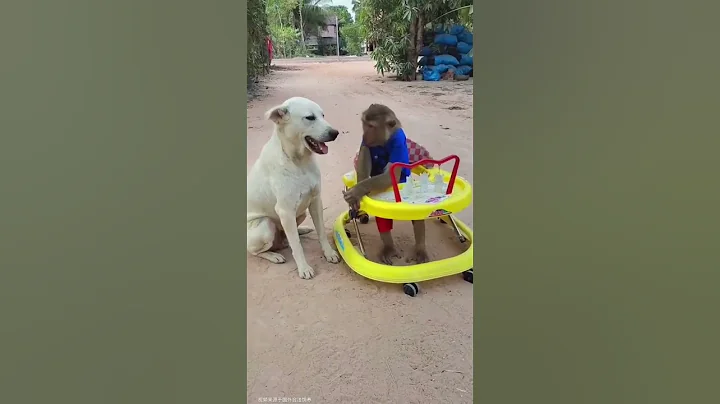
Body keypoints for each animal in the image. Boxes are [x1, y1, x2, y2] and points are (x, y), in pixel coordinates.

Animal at [343, 104, 429, 265]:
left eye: (371, 126)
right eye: (365, 124)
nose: (365, 134)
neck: (384, 140)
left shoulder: (398, 141)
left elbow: (390, 174)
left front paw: (357, 191)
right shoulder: (366, 143)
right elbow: (364, 161)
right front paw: (357, 196)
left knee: (418, 216)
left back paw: (420, 249)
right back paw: (389, 248)